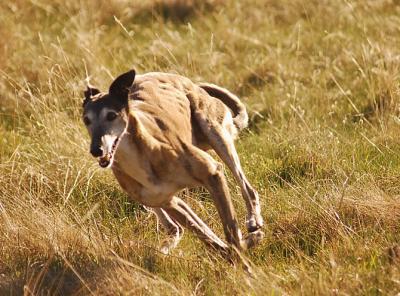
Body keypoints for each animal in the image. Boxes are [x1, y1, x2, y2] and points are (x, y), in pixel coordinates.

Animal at [81, 69, 262, 256]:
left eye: (111, 115)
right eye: (86, 120)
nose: (96, 150)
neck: (140, 155)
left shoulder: (212, 172)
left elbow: (230, 231)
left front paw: (243, 248)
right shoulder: (168, 201)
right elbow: (210, 238)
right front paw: (235, 249)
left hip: (215, 133)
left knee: (248, 188)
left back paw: (253, 220)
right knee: (176, 227)